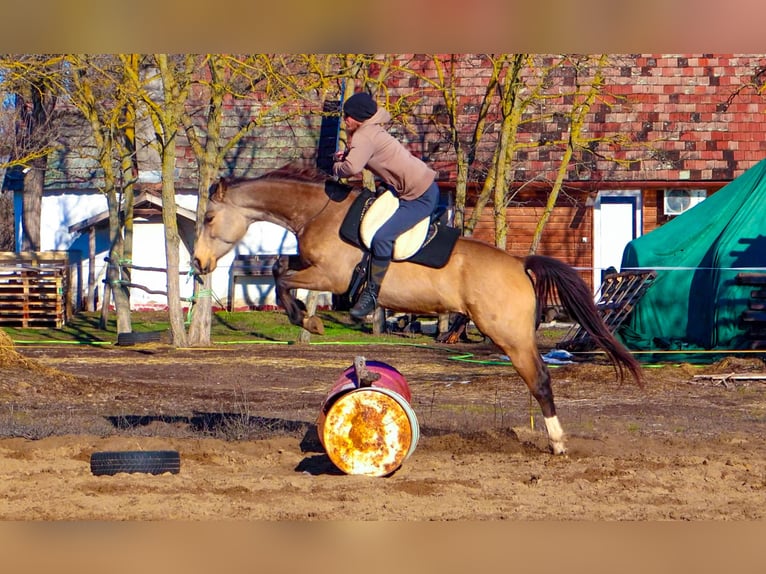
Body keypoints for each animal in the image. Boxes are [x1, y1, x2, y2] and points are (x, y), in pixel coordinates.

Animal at [192, 165, 642, 455]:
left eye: (209, 217)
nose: (198, 263)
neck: (318, 210)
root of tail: (519, 264)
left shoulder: (331, 278)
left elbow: (283, 278)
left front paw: (307, 319)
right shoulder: (312, 268)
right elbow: (279, 268)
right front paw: (304, 315)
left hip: (509, 336)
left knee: (541, 380)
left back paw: (557, 442)